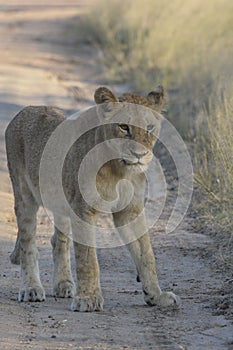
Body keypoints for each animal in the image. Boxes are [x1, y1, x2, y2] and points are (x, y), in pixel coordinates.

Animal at [5, 86, 178, 310]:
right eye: (124, 127)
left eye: (149, 128)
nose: (139, 155)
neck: (119, 171)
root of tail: (26, 110)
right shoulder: (83, 208)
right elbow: (88, 258)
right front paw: (88, 299)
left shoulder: (129, 211)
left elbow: (146, 253)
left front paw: (156, 296)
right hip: (24, 194)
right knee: (29, 244)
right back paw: (31, 288)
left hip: (61, 201)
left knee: (59, 241)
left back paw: (63, 284)